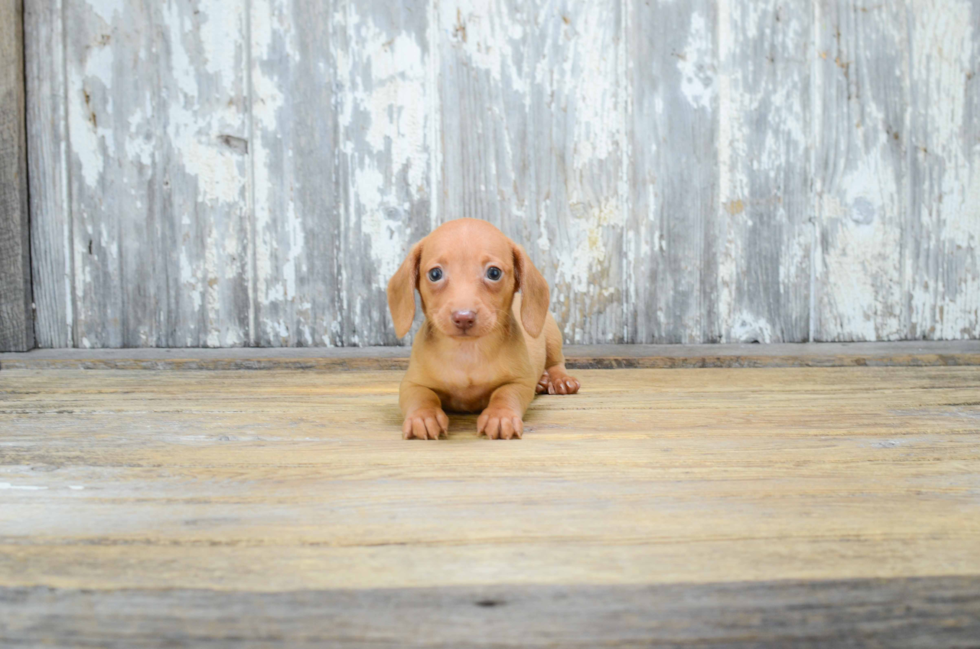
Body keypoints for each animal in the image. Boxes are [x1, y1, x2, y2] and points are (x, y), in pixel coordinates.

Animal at [384, 219, 580, 440]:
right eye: (435, 274)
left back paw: (560, 379)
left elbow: (504, 394)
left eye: (494, 273)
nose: (463, 317)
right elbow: (421, 396)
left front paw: (500, 416)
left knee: (556, 362)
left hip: (552, 337)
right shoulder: (411, 383)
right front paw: (424, 416)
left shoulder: (519, 382)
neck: (467, 352)